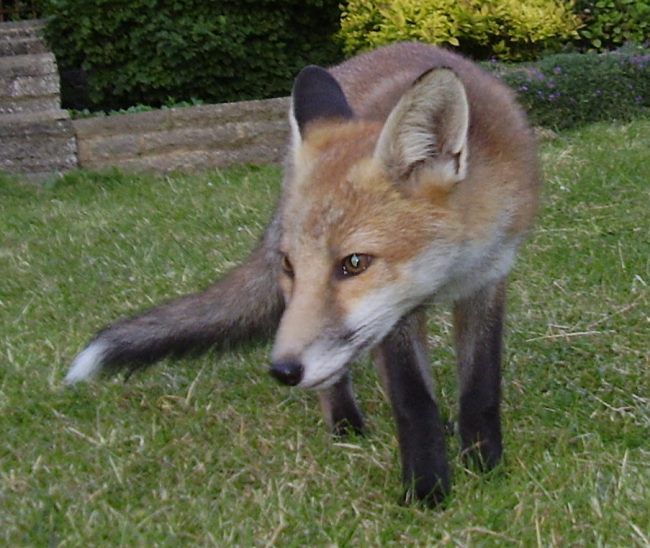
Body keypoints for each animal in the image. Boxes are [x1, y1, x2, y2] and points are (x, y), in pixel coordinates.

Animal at [65, 42, 540, 504]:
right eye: (290, 265)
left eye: (354, 263)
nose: (283, 371)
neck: (451, 269)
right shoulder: (395, 316)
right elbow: (412, 402)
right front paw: (427, 490)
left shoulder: (486, 282)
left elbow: (480, 389)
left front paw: (484, 465)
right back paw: (346, 424)